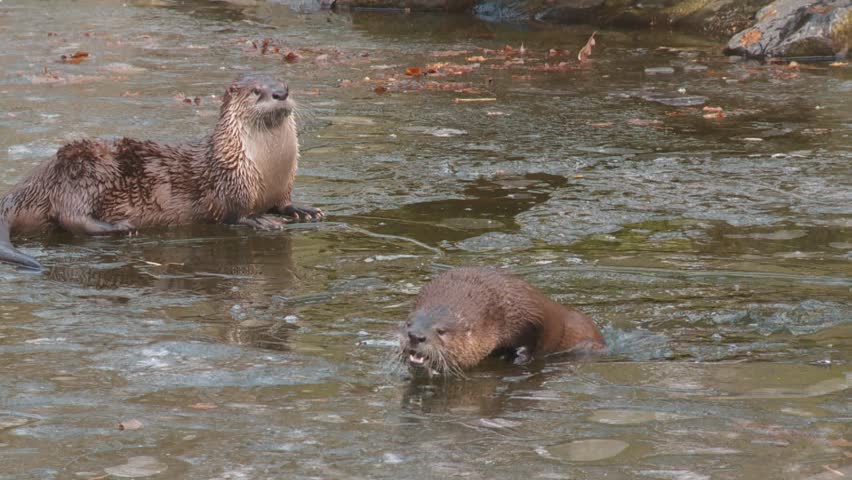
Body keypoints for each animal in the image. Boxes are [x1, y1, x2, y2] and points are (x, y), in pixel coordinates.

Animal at [0, 75, 322, 270]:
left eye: (286, 85)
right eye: (257, 91)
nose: (280, 93)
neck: (268, 168)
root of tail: (33, 181)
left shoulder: (283, 185)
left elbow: (284, 202)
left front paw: (303, 209)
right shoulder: (229, 182)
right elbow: (233, 213)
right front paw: (261, 220)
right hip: (87, 173)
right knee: (70, 216)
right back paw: (121, 227)